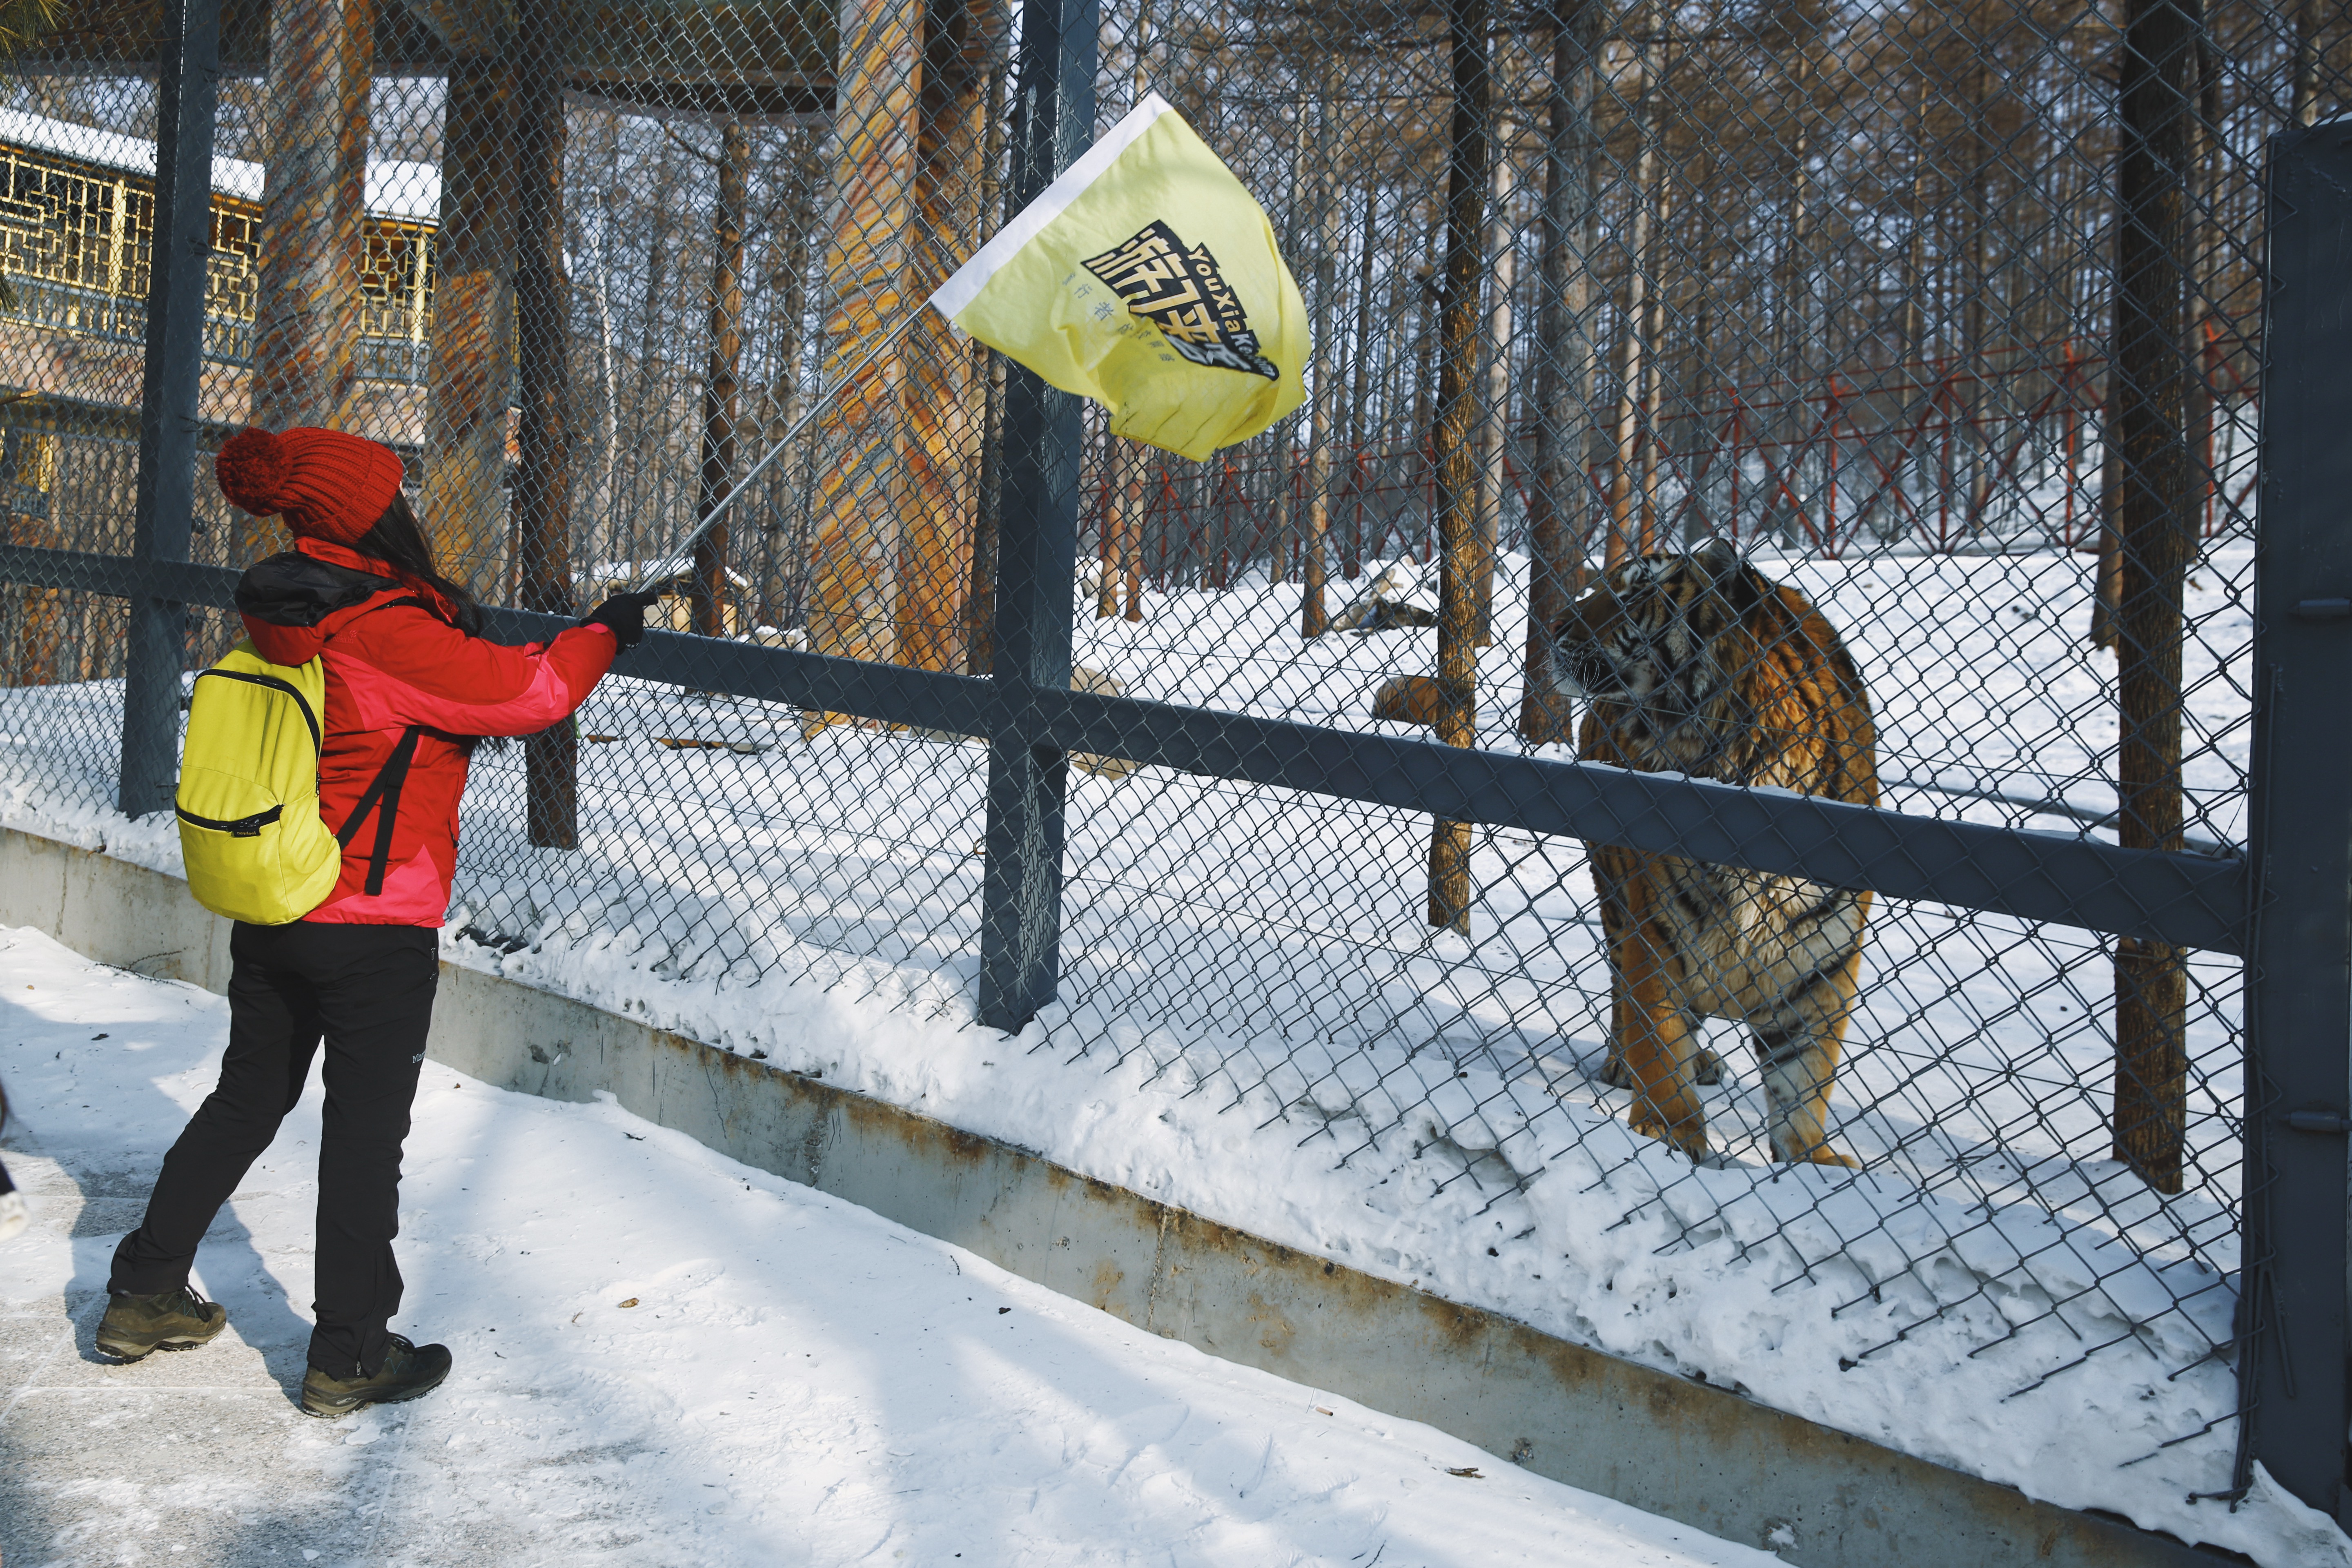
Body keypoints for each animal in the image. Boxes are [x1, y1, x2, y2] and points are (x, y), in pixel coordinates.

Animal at [1548, 538, 1878, 1167]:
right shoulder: (1658, 929)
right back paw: (1623, 1064)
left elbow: (1806, 1074)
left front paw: (1813, 1161)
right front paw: (1668, 1133)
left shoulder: (1822, 960)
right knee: (1623, 992)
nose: (1553, 625)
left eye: (1633, 592)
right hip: (1615, 898)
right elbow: (1658, 1037)